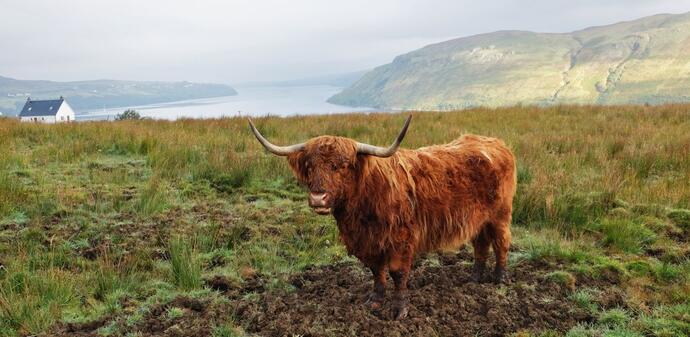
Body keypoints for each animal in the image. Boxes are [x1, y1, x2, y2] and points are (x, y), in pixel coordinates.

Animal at [250, 115, 512, 318]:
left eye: (341, 165)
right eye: (310, 166)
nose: (318, 198)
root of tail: (494, 142)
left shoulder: (401, 239)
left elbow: (397, 272)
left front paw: (399, 310)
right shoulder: (368, 242)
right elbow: (376, 270)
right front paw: (375, 299)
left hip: (500, 215)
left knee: (501, 243)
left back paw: (499, 278)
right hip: (478, 220)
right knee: (481, 245)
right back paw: (475, 278)